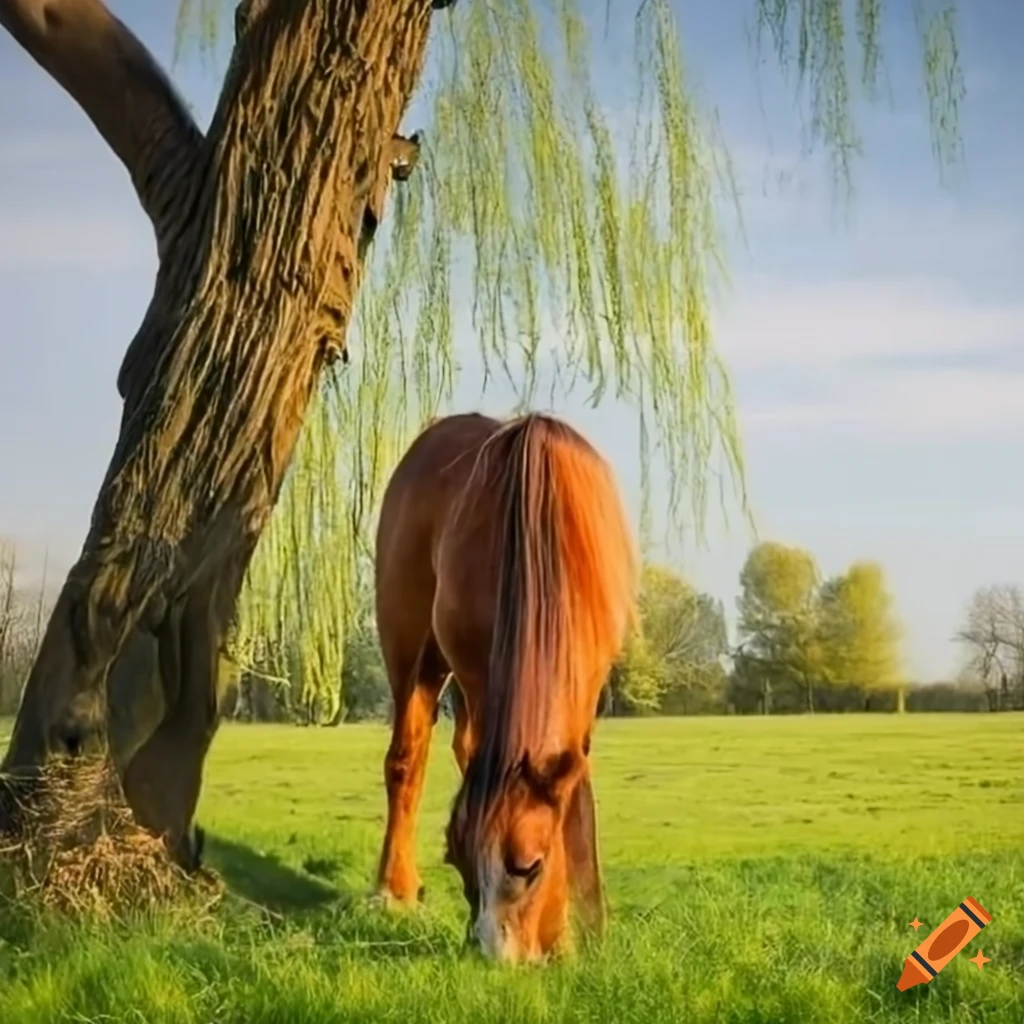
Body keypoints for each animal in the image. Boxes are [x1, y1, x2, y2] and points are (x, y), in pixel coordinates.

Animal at [373, 411, 638, 962]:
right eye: (459, 862)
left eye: (530, 866)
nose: (495, 959)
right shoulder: (480, 674)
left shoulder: (586, 693)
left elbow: (577, 796)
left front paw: (588, 925)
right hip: (411, 646)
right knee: (407, 757)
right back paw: (393, 888)